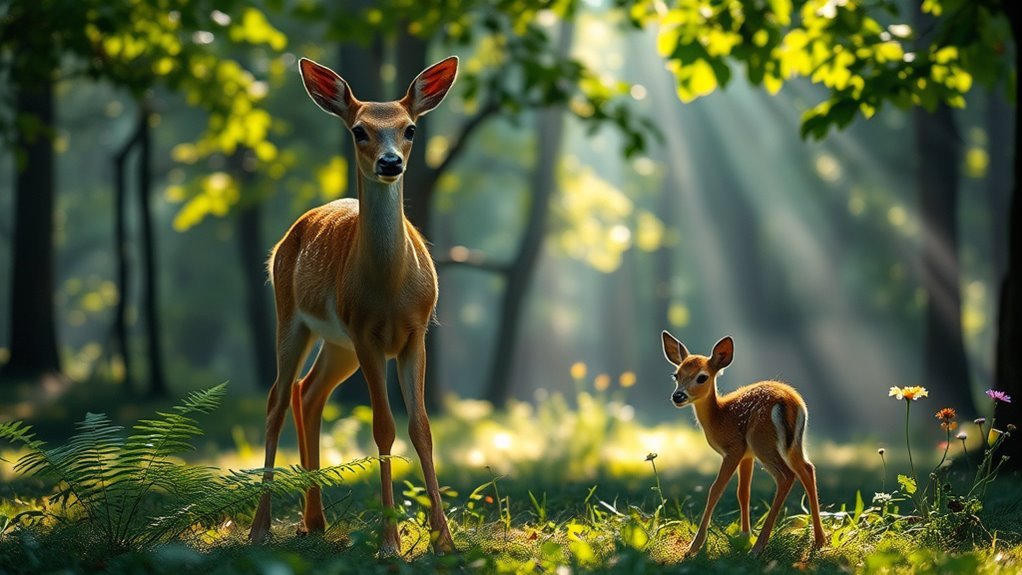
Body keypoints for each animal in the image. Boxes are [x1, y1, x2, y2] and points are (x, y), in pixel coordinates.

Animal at [246, 56, 459, 554]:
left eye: (410, 128)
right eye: (360, 130)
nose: (390, 162)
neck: (389, 290)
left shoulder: (416, 333)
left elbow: (422, 428)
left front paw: (444, 540)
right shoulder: (366, 335)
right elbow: (383, 427)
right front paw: (389, 542)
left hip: (336, 343)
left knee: (308, 392)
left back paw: (314, 520)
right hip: (293, 317)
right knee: (276, 399)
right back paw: (260, 528)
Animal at [660, 331, 826, 556]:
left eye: (702, 377)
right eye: (676, 375)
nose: (678, 396)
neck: (720, 417)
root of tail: (789, 402)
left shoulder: (734, 449)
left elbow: (715, 489)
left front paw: (694, 547)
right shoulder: (747, 455)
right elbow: (743, 493)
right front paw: (744, 536)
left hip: (762, 441)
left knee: (786, 476)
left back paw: (758, 548)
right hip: (793, 445)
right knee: (807, 469)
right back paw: (819, 541)